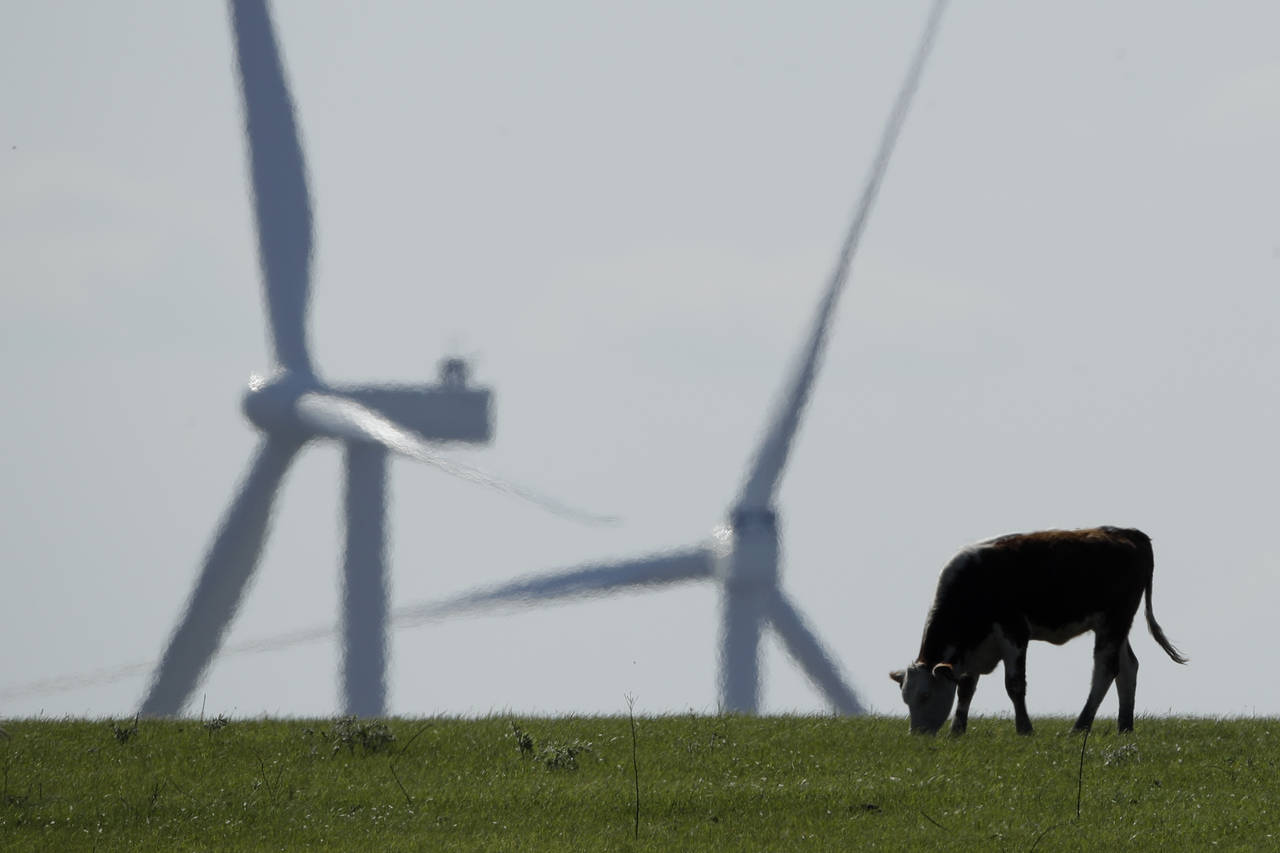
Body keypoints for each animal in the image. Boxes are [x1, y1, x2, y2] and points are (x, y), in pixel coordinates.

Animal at [890, 525, 1187, 732]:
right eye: (905, 698)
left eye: (925, 695)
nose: (917, 734)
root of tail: (1128, 532)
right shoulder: (975, 646)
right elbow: (966, 687)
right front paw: (957, 731)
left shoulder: (1014, 631)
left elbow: (1014, 685)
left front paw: (1024, 729)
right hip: (1115, 625)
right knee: (1127, 667)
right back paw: (1124, 727)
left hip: (1114, 621)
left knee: (1105, 669)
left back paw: (1079, 727)